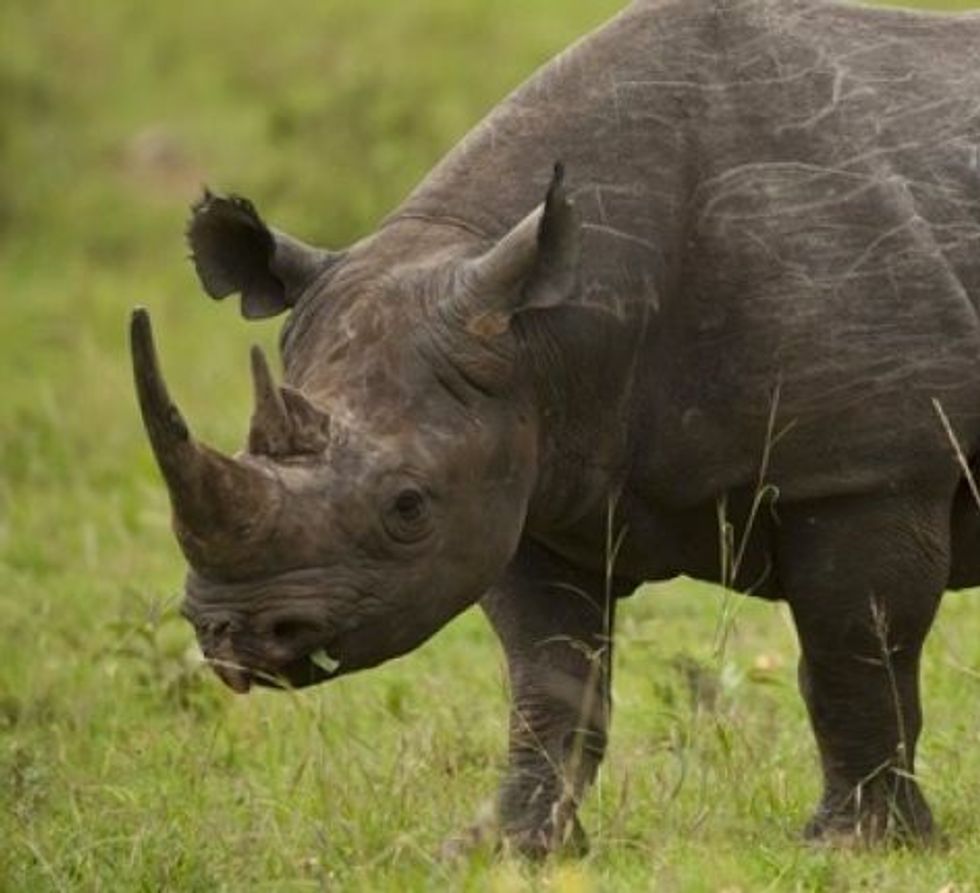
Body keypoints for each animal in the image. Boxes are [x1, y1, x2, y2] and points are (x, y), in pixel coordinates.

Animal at [131, 0, 980, 854]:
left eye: (408, 506)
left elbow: (854, 655)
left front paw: (854, 845)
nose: (235, 633)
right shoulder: (520, 472)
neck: (547, 335)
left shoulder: (868, 470)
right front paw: (509, 846)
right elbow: (550, 679)